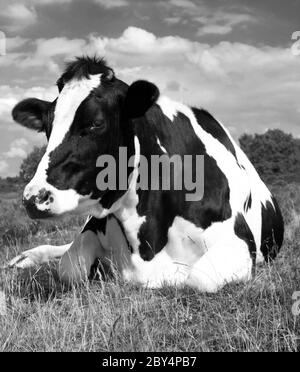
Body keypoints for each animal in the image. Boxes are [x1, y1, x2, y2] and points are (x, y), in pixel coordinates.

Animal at [7, 56, 284, 292]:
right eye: (47, 127)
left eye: (96, 123)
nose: (33, 198)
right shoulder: (94, 228)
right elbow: (69, 267)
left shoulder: (239, 242)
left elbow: (199, 278)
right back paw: (23, 258)